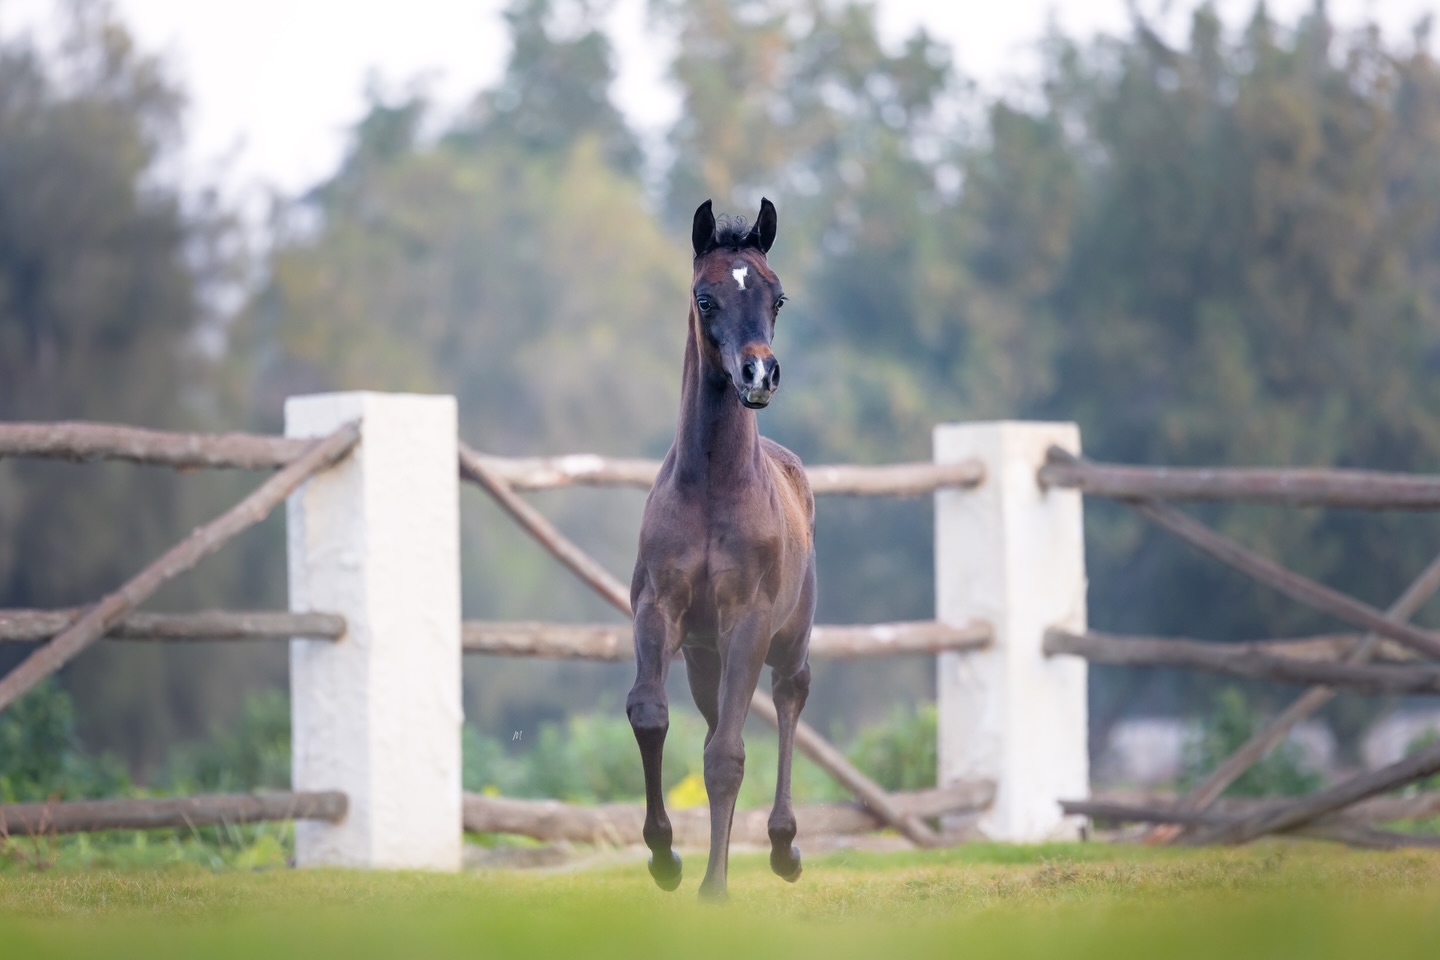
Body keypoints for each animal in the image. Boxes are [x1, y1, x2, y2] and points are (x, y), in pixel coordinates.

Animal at [626, 197, 816, 901]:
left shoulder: (749, 622)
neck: (711, 486)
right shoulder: (659, 610)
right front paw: (666, 858)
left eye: (777, 297)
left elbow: (729, 757)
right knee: (713, 722)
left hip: (788, 635)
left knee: (789, 695)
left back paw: (784, 848)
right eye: (704, 298)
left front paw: (713, 888)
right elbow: (651, 716)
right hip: (704, 658)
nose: (758, 373)